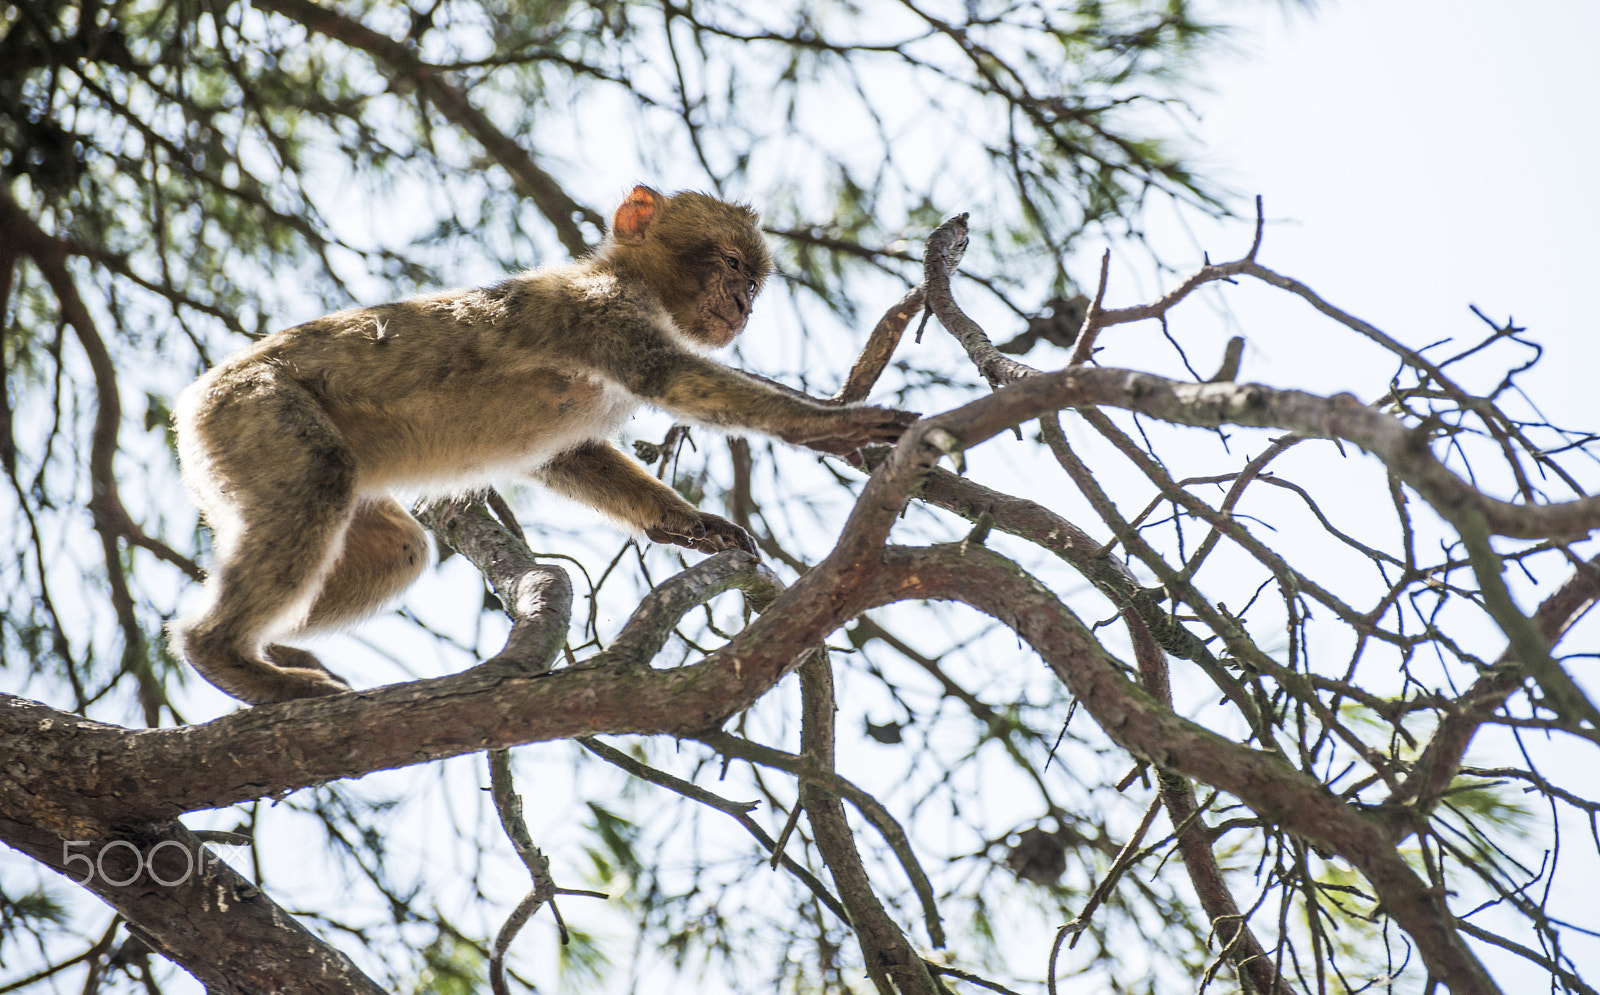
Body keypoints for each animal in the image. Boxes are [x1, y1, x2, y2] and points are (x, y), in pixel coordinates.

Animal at [169, 186, 918, 705]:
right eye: (731, 264)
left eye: (753, 280)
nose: (744, 306)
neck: (638, 284)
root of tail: (194, 398)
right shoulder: (601, 307)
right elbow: (665, 377)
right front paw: (829, 424)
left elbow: (568, 456)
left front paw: (687, 522)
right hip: (256, 411)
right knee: (320, 482)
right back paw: (221, 652)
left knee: (396, 549)